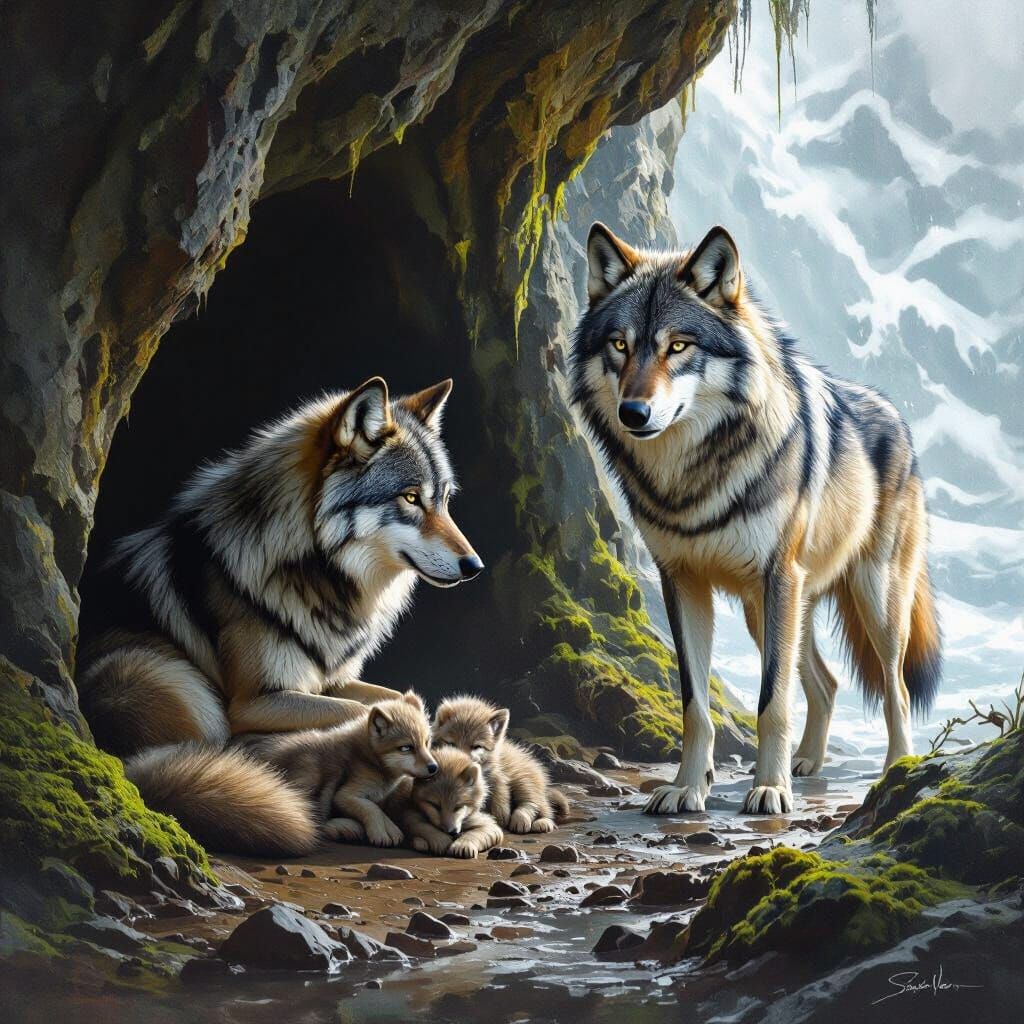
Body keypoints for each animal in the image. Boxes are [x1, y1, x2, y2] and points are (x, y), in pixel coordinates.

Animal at [78, 377, 483, 756]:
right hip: (176, 683)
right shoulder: (254, 702)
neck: (315, 577)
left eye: (445, 500)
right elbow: (359, 711)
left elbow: (398, 697)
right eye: (411, 498)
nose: (474, 566)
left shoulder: (331, 680)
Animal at [125, 691, 435, 856]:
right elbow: (371, 808)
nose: (434, 768)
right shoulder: (348, 793)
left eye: (427, 742)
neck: (368, 756)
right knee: (314, 821)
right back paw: (344, 827)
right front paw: (383, 832)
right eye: (406, 747)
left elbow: (381, 807)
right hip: (307, 774)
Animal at [432, 695, 570, 832]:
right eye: (451, 744)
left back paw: (535, 821)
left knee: (537, 804)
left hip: (523, 779)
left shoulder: (499, 776)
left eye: (476, 746)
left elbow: (500, 801)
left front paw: (501, 819)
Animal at [570, 222, 941, 815]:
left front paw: (769, 789)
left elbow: (772, 703)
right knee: (826, 683)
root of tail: (894, 413)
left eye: (679, 345)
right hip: (766, 608)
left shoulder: (777, 578)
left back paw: (895, 768)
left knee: (896, 688)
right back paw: (807, 762)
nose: (633, 412)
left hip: (872, 600)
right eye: (620, 345)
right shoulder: (683, 583)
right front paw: (687, 787)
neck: (690, 478)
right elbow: (695, 704)